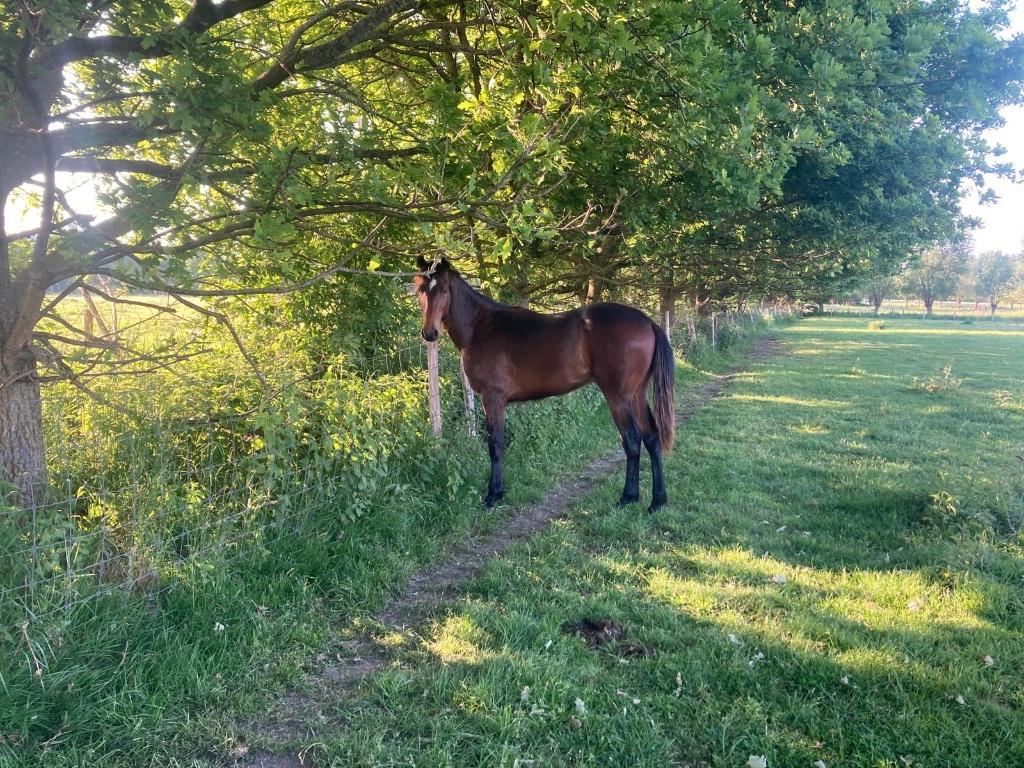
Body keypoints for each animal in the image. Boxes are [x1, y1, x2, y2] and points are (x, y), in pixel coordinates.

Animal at [413, 257, 675, 512]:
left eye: (444, 290)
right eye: (421, 290)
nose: (429, 333)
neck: (482, 328)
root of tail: (647, 322)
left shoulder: (493, 398)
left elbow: (495, 445)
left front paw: (494, 495)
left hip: (618, 396)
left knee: (631, 440)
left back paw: (628, 497)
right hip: (637, 394)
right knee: (651, 438)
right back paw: (657, 501)